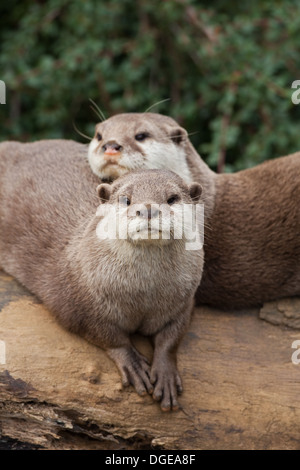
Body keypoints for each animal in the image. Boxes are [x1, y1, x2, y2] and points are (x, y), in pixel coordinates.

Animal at [0, 140, 204, 412]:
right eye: (126, 199)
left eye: (172, 198)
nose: (148, 210)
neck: (144, 295)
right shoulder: (76, 303)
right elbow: (105, 334)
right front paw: (132, 362)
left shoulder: (185, 298)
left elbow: (172, 337)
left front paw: (165, 372)